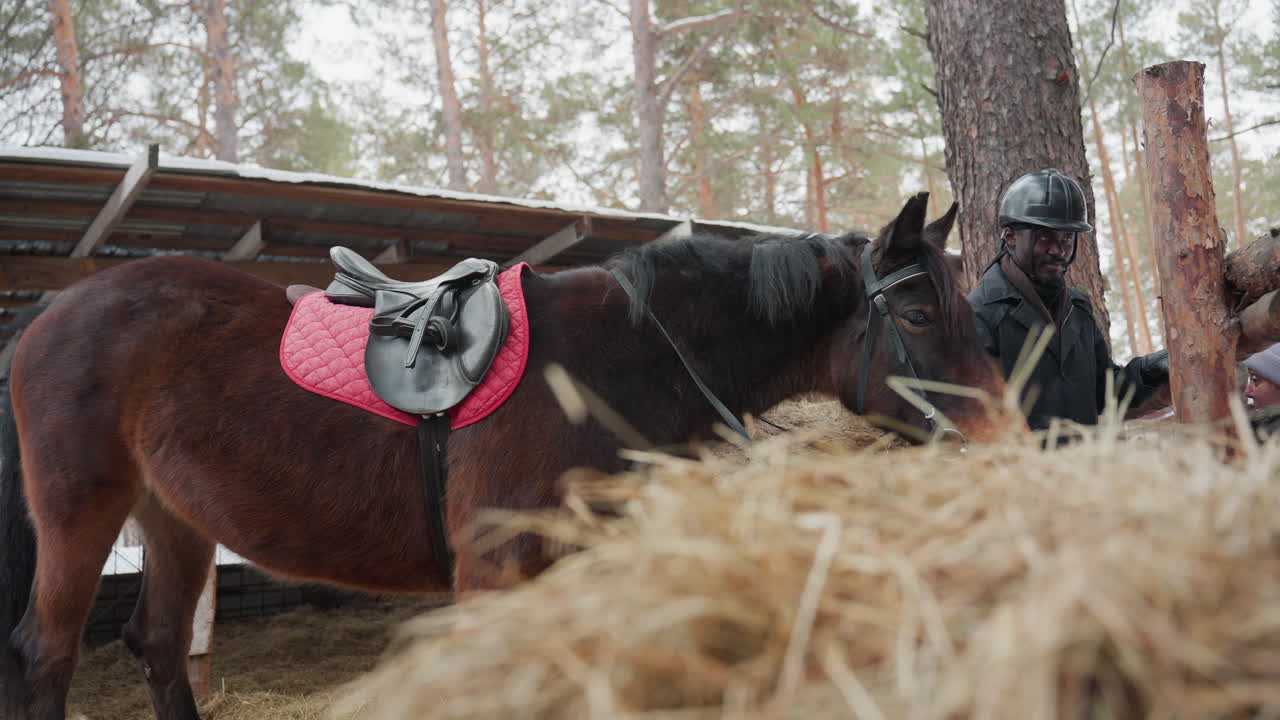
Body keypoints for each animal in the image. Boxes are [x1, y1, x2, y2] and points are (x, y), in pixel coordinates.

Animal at [0, 192, 1006, 720]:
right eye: (919, 315)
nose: (1005, 439)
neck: (620, 358)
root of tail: (54, 310)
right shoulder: (495, 573)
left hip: (174, 517)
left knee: (160, 644)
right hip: (81, 511)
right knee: (46, 652)